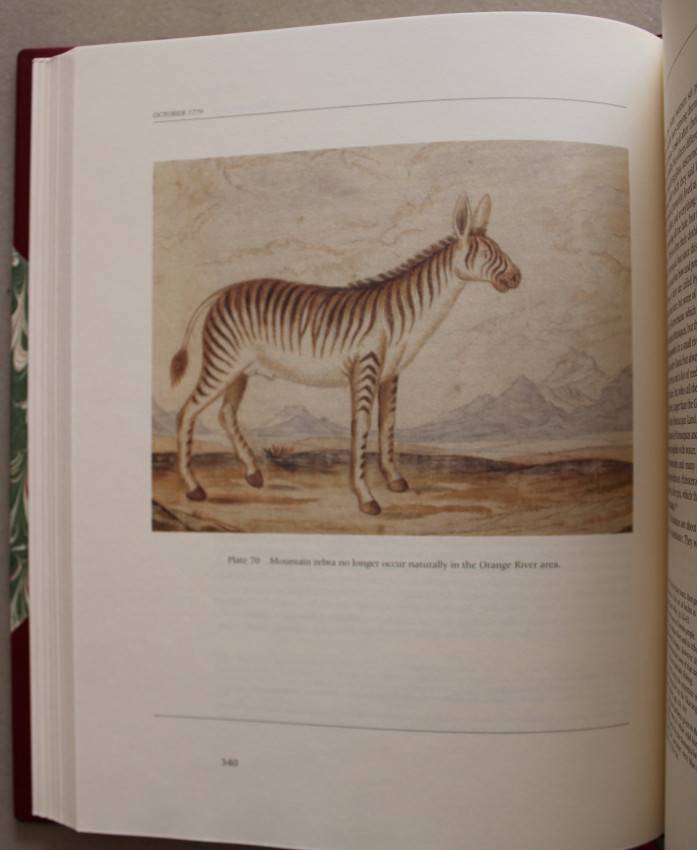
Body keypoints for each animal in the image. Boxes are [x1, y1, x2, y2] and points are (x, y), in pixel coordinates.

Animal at [169, 191, 521, 515]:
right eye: (486, 253)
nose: (517, 276)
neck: (403, 316)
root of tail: (221, 292)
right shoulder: (365, 366)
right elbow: (361, 426)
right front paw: (366, 496)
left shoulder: (390, 373)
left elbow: (388, 423)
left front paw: (394, 479)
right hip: (222, 365)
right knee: (187, 412)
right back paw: (193, 487)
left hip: (239, 370)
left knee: (225, 414)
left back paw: (253, 474)